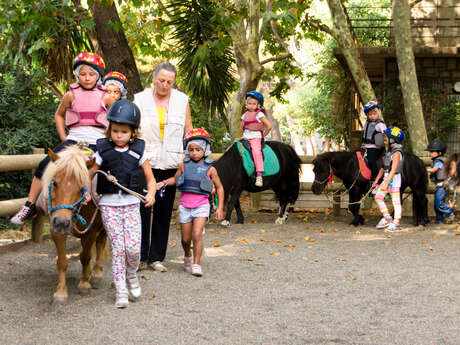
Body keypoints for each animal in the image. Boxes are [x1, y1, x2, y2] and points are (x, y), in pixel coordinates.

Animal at [42, 146, 107, 302]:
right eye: (55, 183)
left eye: (82, 188)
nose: (61, 221)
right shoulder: (55, 231)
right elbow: (62, 261)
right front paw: (60, 292)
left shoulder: (90, 232)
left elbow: (85, 257)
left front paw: (84, 284)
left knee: (100, 244)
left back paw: (96, 275)